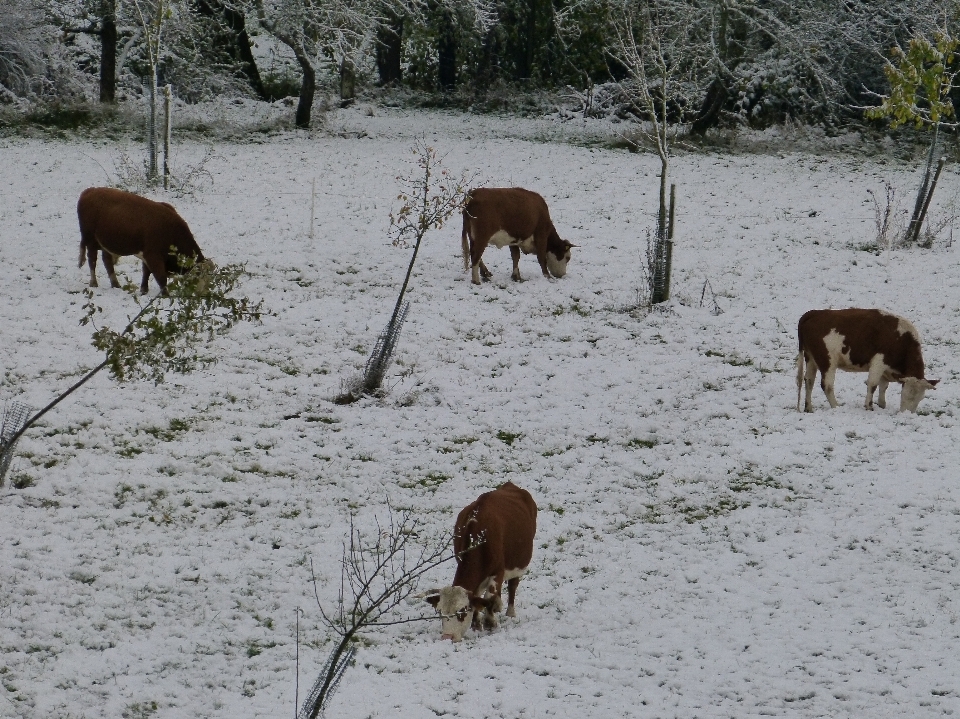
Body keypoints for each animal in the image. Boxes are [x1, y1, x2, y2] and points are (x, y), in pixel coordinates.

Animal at [78, 188, 207, 298]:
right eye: (199, 275)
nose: (203, 294)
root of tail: (89, 191)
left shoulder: (147, 256)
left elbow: (146, 272)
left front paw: (144, 290)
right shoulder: (153, 256)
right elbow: (161, 277)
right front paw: (165, 295)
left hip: (106, 244)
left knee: (107, 261)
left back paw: (115, 284)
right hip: (90, 240)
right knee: (92, 260)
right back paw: (94, 283)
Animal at [424, 484, 536, 640]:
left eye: (462, 611)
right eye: (440, 612)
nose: (447, 637)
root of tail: (510, 485)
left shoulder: (498, 571)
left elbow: (489, 597)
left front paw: (490, 623)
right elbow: (477, 597)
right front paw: (476, 624)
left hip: (518, 562)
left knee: (513, 585)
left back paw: (510, 612)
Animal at [796, 308, 936, 414]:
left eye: (920, 398)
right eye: (905, 394)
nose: (906, 414)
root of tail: (814, 313)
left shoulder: (886, 370)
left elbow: (883, 386)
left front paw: (882, 405)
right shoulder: (879, 362)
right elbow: (873, 384)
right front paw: (869, 406)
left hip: (811, 358)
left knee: (809, 381)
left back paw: (808, 408)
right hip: (827, 361)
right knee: (827, 385)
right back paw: (836, 406)